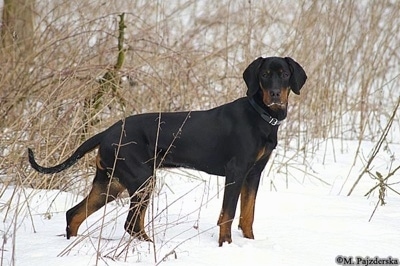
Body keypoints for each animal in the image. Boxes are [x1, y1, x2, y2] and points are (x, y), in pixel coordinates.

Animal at [28, 56, 306, 247]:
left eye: (284, 73)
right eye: (265, 74)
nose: (274, 94)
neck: (260, 116)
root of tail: (107, 132)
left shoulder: (253, 175)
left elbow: (248, 214)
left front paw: (248, 243)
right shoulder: (235, 173)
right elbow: (227, 214)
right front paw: (225, 245)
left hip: (110, 183)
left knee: (74, 214)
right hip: (142, 180)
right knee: (131, 224)